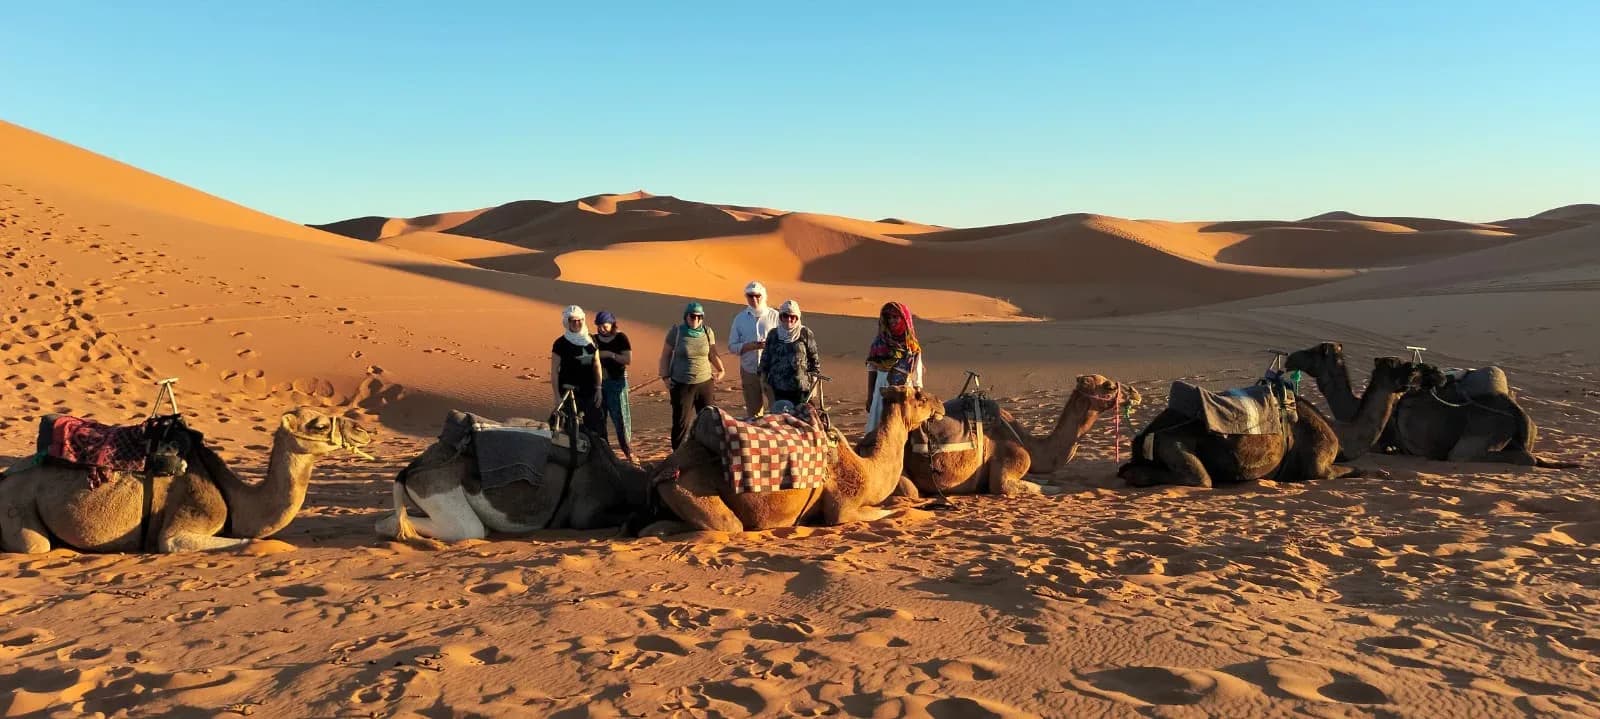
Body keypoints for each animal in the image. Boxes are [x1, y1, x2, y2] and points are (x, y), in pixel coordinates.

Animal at [0, 408, 373, 553]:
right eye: (318, 424)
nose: (363, 430)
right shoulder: (185, 521)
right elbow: (248, 541)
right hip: (17, 504)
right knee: (37, 545)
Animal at [640, 385, 943, 534]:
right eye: (919, 396)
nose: (939, 405)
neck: (867, 467)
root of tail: (664, 469)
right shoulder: (842, 508)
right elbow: (885, 512)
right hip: (689, 489)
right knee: (725, 525)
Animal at [1113, 360, 1418, 488]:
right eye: (1397, 365)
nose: (1417, 371)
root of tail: (1144, 435)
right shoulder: (1316, 466)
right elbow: (1354, 469)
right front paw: (1382, 473)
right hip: (1174, 443)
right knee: (1199, 479)